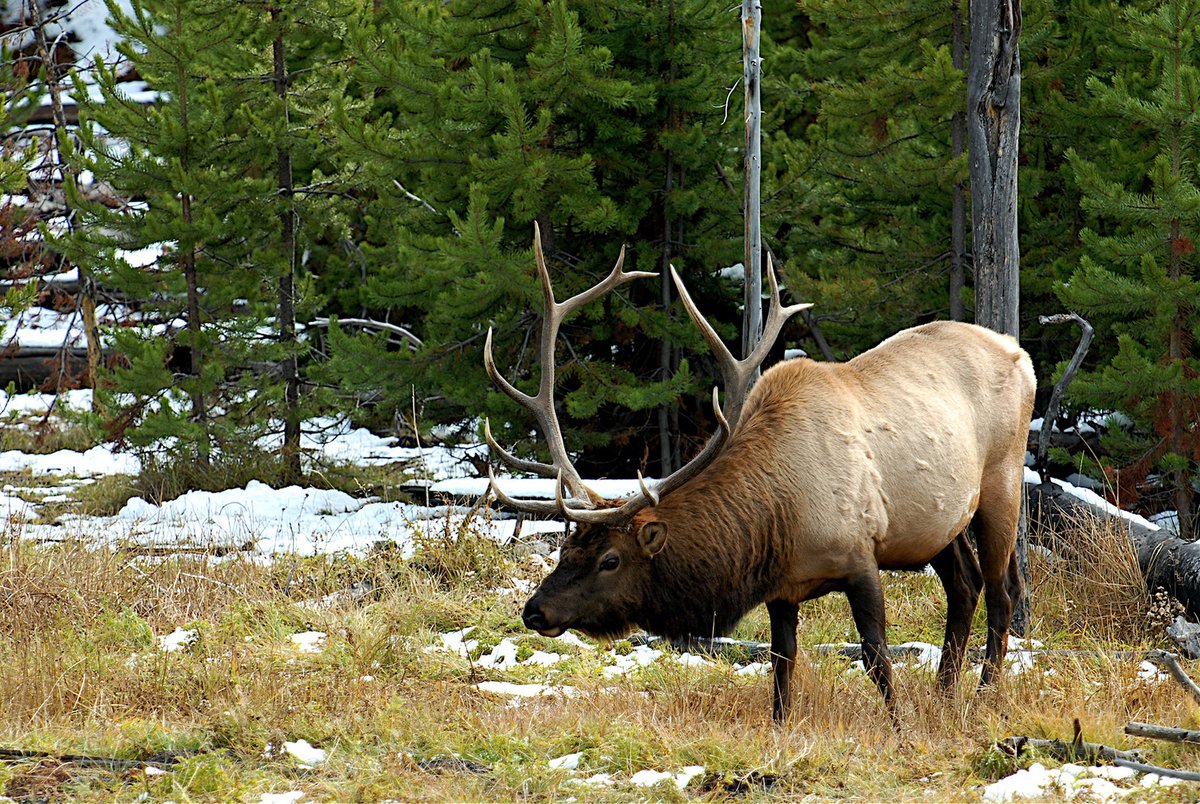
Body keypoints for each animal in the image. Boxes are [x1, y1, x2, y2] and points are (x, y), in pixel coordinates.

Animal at [483, 224, 1036, 722]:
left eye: (610, 560)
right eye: (565, 548)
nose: (535, 610)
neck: (777, 521)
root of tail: (1020, 351)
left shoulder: (860, 555)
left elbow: (876, 656)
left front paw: (899, 725)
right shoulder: (782, 588)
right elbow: (781, 664)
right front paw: (780, 724)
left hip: (1002, 481)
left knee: (1001, 592)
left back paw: (984, 695)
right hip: (938, 522)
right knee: (964, 585)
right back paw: (944, 694)